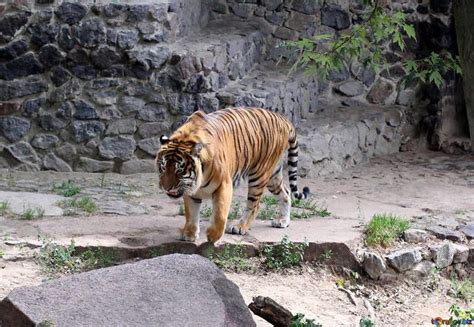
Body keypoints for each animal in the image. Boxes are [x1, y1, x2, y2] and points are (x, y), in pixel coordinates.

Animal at [157, 107, 310, 243]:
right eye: (163, 167)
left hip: (259, 174)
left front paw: (213, 236)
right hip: (273, 174)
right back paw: (283, 221)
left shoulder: (223, 184)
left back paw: (239, 226)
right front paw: (189, 234)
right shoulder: (190, 189)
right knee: (286, 192)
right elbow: (191, 213)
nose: (166, 188)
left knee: (255, 204)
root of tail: (283, 119)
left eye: (179, 170)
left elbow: (220, 214)